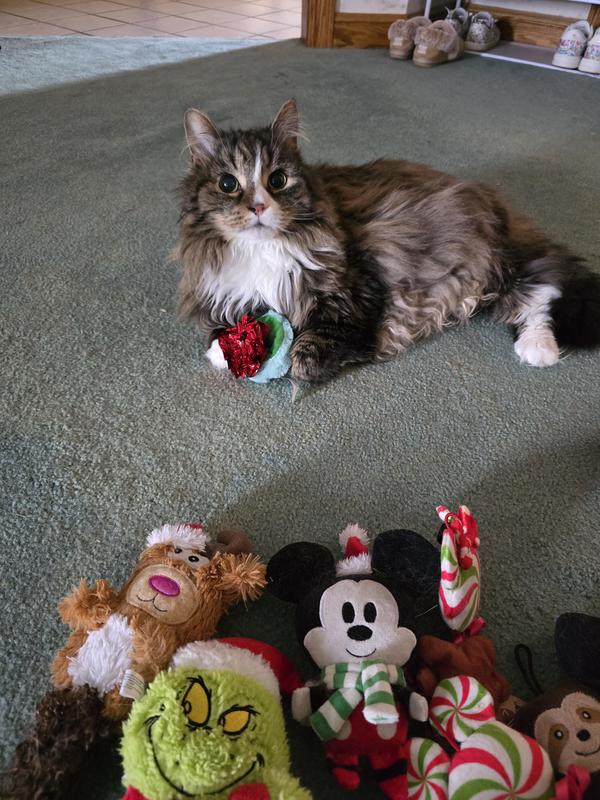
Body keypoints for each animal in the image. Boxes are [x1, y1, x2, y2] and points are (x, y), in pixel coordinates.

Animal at [175, 99, 600, 383]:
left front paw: (300, 363)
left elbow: (314, 343)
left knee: (540, 289)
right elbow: (226, 327)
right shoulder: (226, 293)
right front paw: (224, 350)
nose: (260, 206)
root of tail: (487, 196)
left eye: (277, 180)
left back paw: (538, 349)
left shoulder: (356, 292)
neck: (261, 249)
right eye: (228, 184)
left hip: (490, 263)